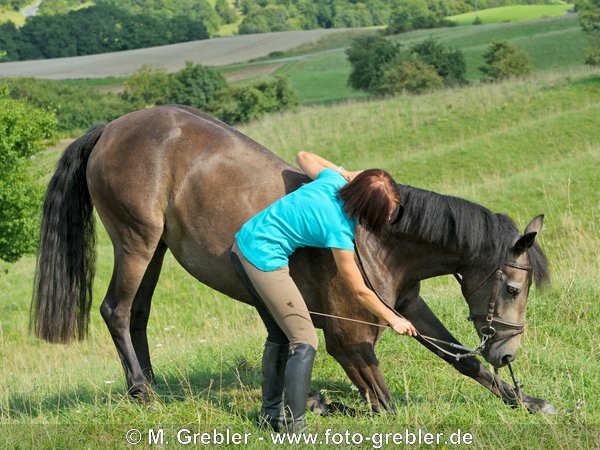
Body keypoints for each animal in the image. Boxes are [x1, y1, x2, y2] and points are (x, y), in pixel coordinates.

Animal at [29, 104, 556, 414]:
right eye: (512, 287)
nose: (507, 354)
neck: (380, 242)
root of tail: (111, 128)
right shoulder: (349, 341)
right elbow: (384, 405)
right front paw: (319, 403)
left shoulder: (407, 305)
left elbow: (457, 358)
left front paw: (526, 400)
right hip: (136, 240)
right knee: (116, 310)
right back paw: (142, 392)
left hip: (154, 248)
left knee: (138, 313)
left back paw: (151, 383)